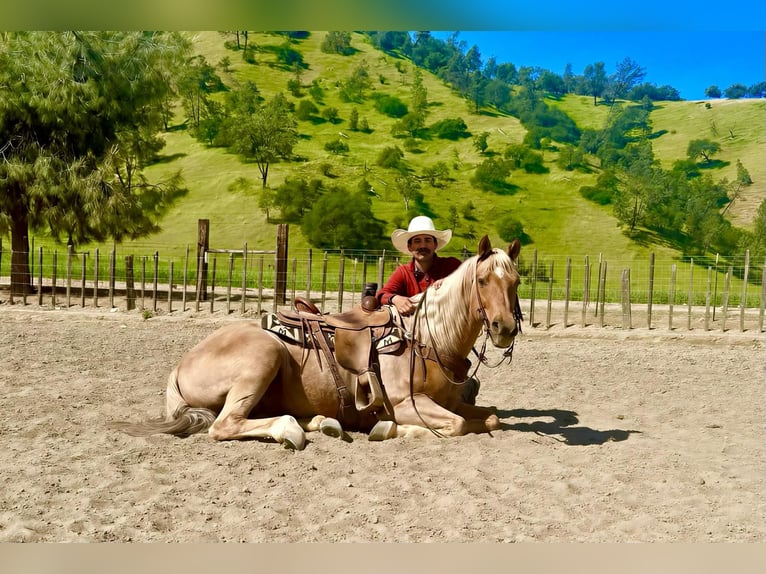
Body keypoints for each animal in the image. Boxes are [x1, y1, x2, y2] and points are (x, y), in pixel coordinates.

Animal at [111, 235, 522, 449]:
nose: (503, 327)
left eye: (516, 281)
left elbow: (490, 418)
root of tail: (180, 365)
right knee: (226, 424)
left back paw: (326, 422)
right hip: (263, 356)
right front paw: (387, 428)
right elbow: (455, 425)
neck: (427, 338)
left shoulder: (454, 403)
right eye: (482, 280)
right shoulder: (409, 403)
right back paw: (290, 430)